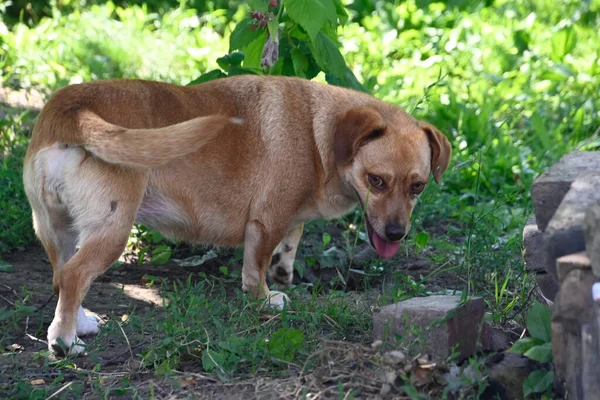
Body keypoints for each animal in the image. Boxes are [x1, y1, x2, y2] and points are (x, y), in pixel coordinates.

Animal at [23, 73, 450, 354]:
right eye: (376, 181)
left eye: (418, 186)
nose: (396, 234)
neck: (319, 133)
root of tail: (71, 109)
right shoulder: (267, 220)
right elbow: (255, 269)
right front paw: (264, 299)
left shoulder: (289, 217)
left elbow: (290, 243)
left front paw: (284, 271)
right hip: (113, 230)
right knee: (75, 276)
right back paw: (63, 342)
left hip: (59, 232)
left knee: (62, 277)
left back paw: (78, 325)